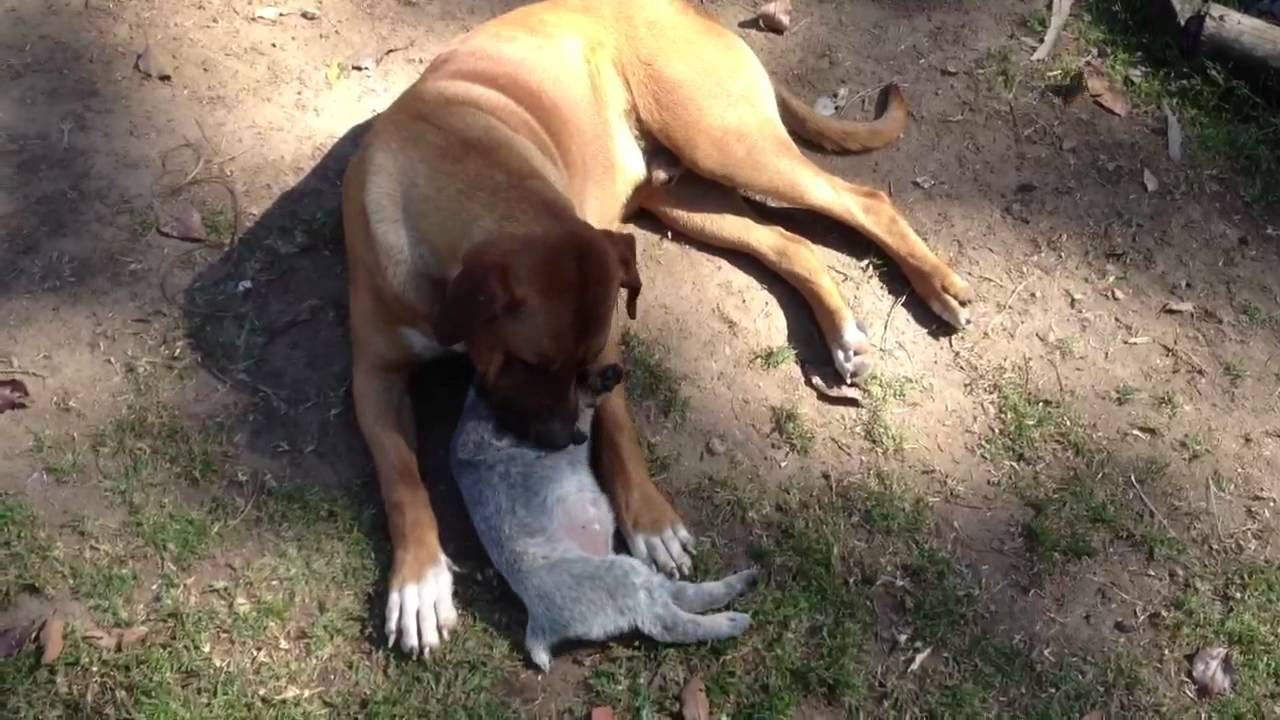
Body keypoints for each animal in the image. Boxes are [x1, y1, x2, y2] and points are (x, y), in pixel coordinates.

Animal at [450, 384, 752, 671]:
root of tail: (540, 625)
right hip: (622, 577)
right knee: (671, 620)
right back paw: (733, 619)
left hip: (625, 574)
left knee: (678, 595)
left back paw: (744, 582)